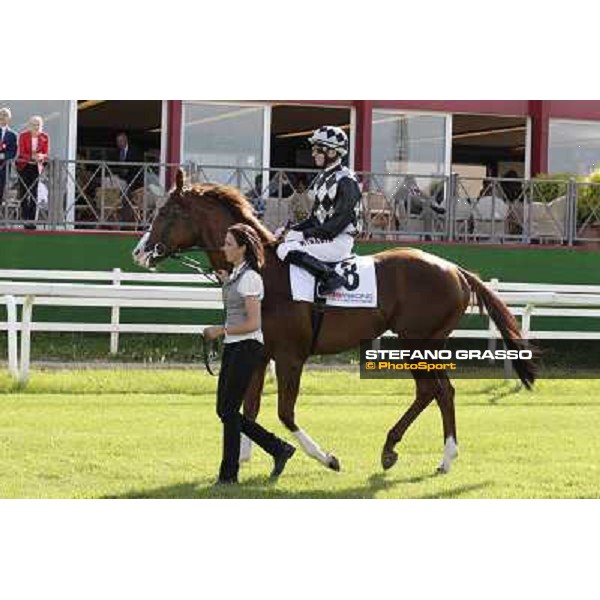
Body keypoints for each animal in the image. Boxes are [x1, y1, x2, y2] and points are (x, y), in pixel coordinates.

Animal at [132, 171, 536, 476]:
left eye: (168, 212)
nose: (139, 252)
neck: (263, 270)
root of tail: (455, 269)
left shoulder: (291, 357)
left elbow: (285, 412)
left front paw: (324, 457)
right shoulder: (261, 354)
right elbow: (249, 408)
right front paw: (246, 457)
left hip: (418, 341)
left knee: (438, 391)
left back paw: (440, 456)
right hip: (419, 342)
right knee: (434, 392)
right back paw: (397, 449)